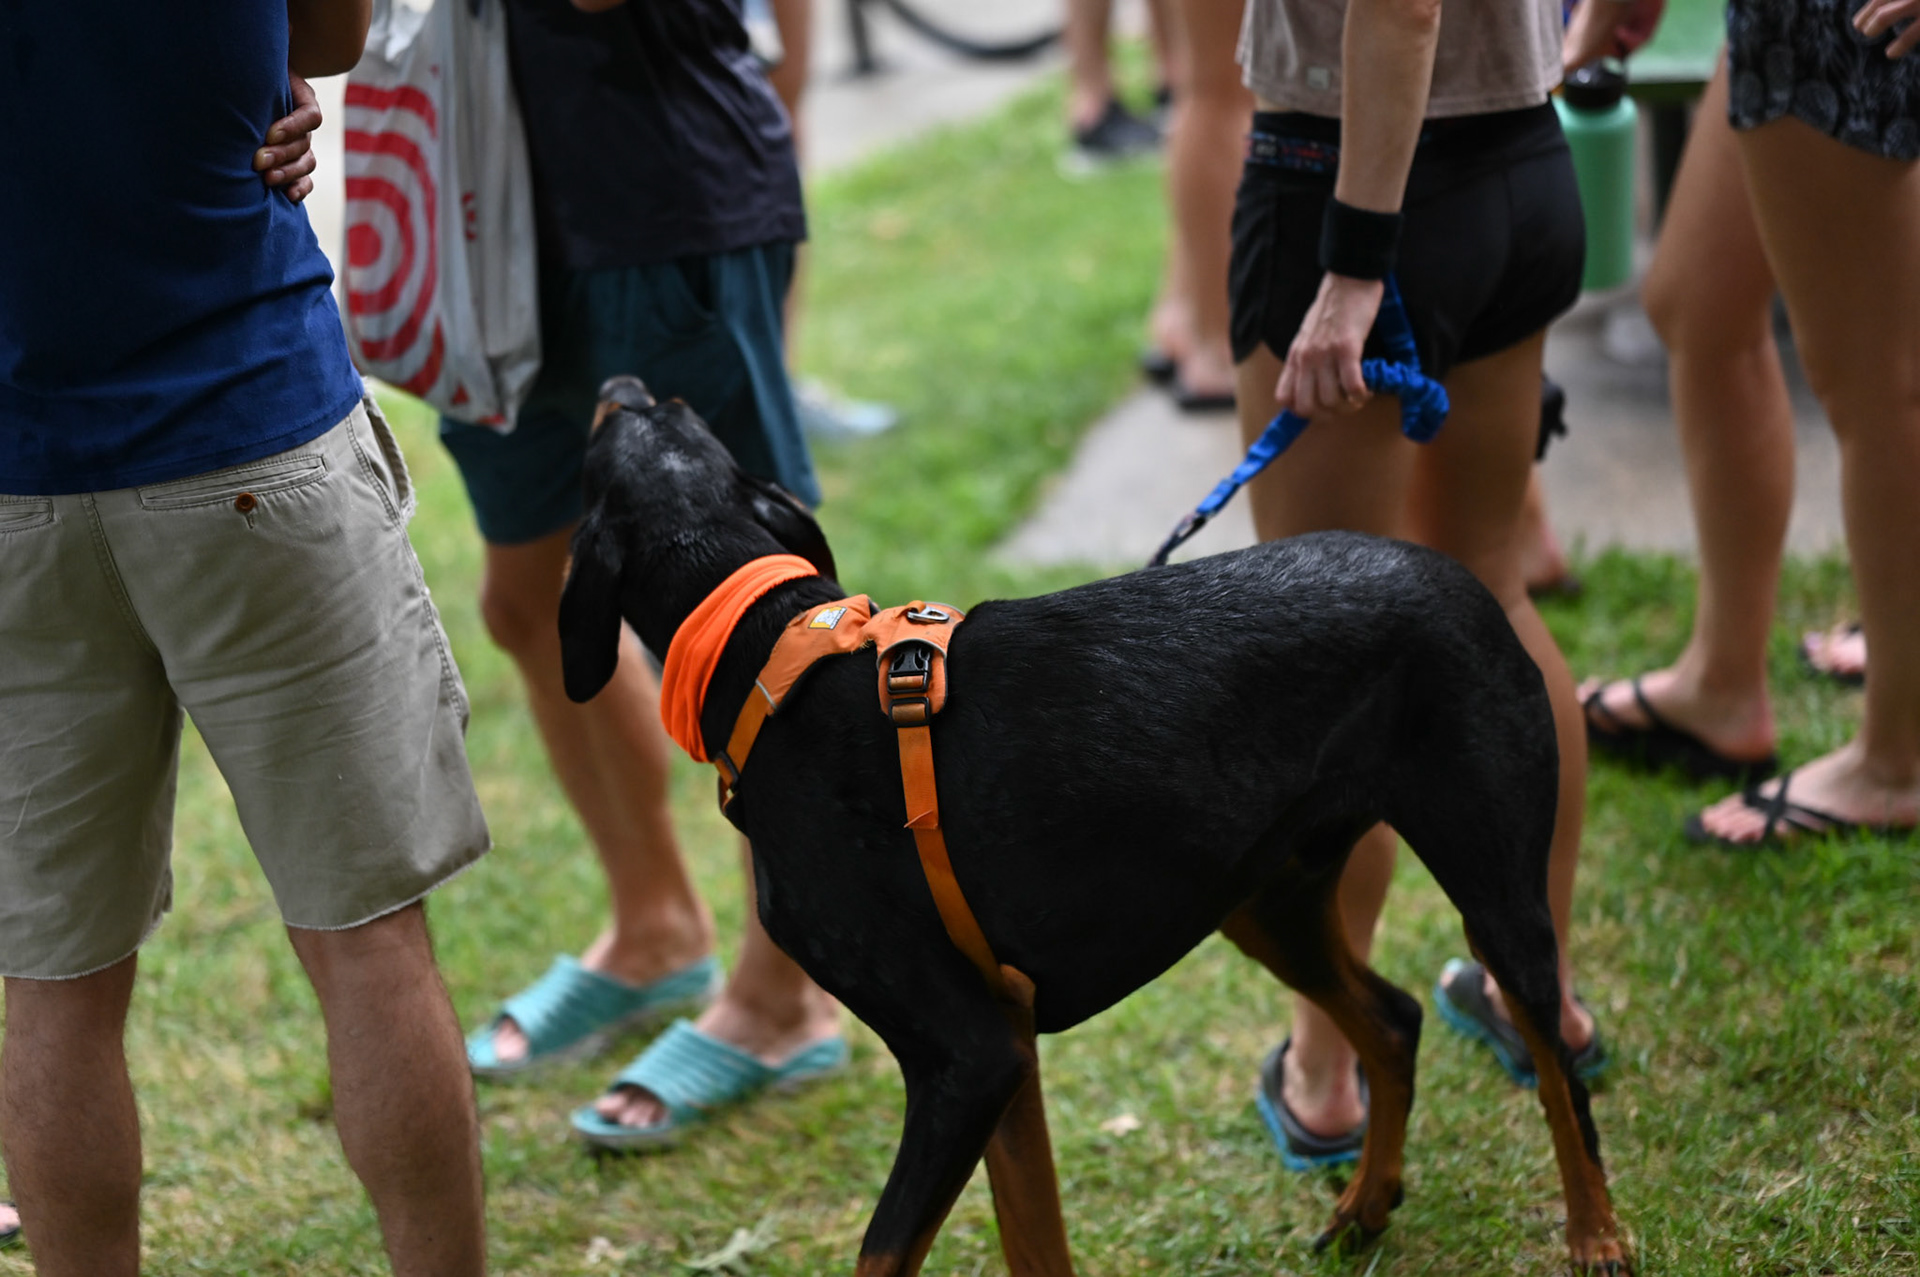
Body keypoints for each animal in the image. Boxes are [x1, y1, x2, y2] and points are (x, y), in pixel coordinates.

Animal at [559, 377, 1629, 1276]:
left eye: (619, 421)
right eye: (661, 409)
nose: (613, 379)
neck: (772, 657)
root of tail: (1450, 569)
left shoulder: (966, 1057)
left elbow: (882, 1252)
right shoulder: (1004, 1055)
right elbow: (1034, 1240)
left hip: (1494, 885)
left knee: (1558, 1071)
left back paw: (1596, 1236)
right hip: (1267, 902)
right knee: (1395, 1020)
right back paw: (1365, 1207)